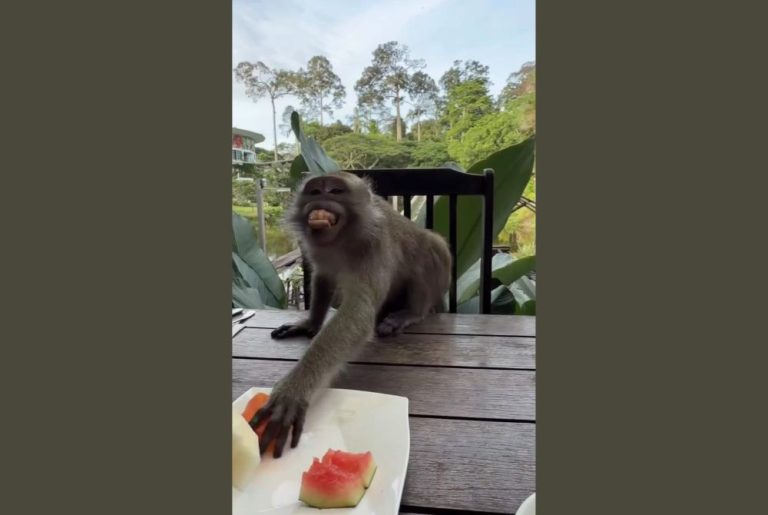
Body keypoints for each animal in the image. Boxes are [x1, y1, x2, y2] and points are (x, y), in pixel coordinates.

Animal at [250, 171, 451, 458]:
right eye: (315, 191)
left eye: (335, 191)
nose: (322, 196)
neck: (342, 240)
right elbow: (323, 277)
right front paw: (310, 323)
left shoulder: (374, 245)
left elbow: (359, 313)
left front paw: (294, 389)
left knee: (430, 245)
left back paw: (411, 312)